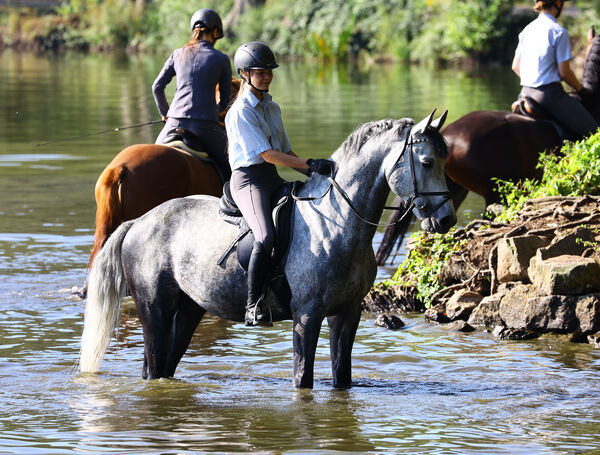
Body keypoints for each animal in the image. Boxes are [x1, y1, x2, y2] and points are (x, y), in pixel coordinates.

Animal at [78, 109, 454, 388]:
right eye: (427, 162)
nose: (446, 219)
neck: (337, 221)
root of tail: (139, 222)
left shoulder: (347, 314)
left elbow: (342, 379)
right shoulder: (306, 316)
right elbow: (303, 379)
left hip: (188, 309)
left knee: (164, 366)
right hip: (154, 308)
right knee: (154, 368)